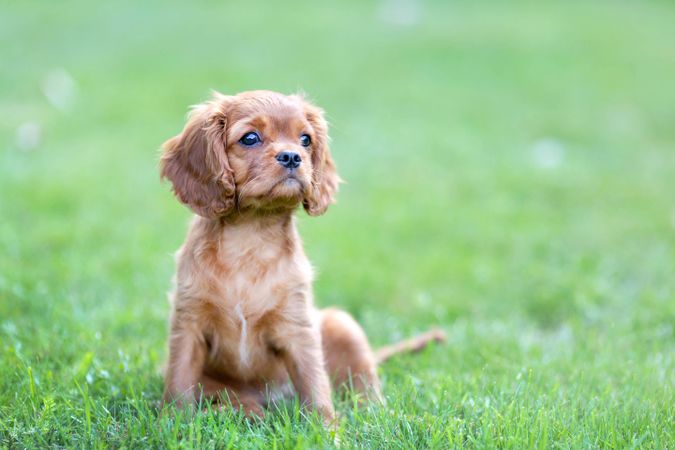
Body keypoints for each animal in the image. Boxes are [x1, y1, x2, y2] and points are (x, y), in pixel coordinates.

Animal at [158, 90, 444, 422]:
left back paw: (373, 413)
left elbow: (315, 383)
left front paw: (328, 428)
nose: (292, 156)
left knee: (364, 384)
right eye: (250, 138)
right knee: (238, 401)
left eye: (305, 139)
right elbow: (179, 381)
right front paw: (171, 421)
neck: (250, 238)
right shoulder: (188, 324)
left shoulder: (298, 327)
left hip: (342, 325)